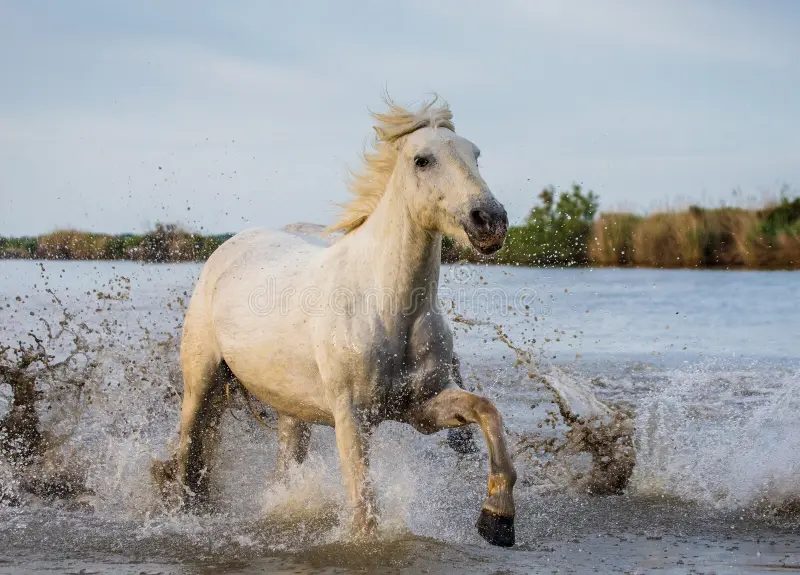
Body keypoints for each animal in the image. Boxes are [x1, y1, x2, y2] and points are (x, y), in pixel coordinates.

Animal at [156, 97, 520, 548]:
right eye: (422, 160)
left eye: (475, 155)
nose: (489, 220)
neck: (389, 309)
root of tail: (230, 247)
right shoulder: (352, 419)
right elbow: (364, 511)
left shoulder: (420, 407)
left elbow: (486, 410)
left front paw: (497, 520)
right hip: (201, 383)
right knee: (189, 458)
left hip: (290, 412)